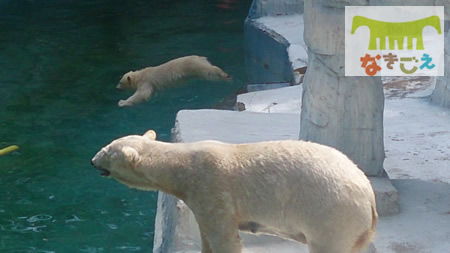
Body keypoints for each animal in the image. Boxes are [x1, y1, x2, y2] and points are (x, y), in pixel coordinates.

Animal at [90, 130, 376, 253]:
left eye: (107, 151)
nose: (92, 161)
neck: (181, 165)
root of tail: (369, 196)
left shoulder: (211, 188)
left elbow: (224, 239)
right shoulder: (197, 199)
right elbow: (206, 237)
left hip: (330, 214)